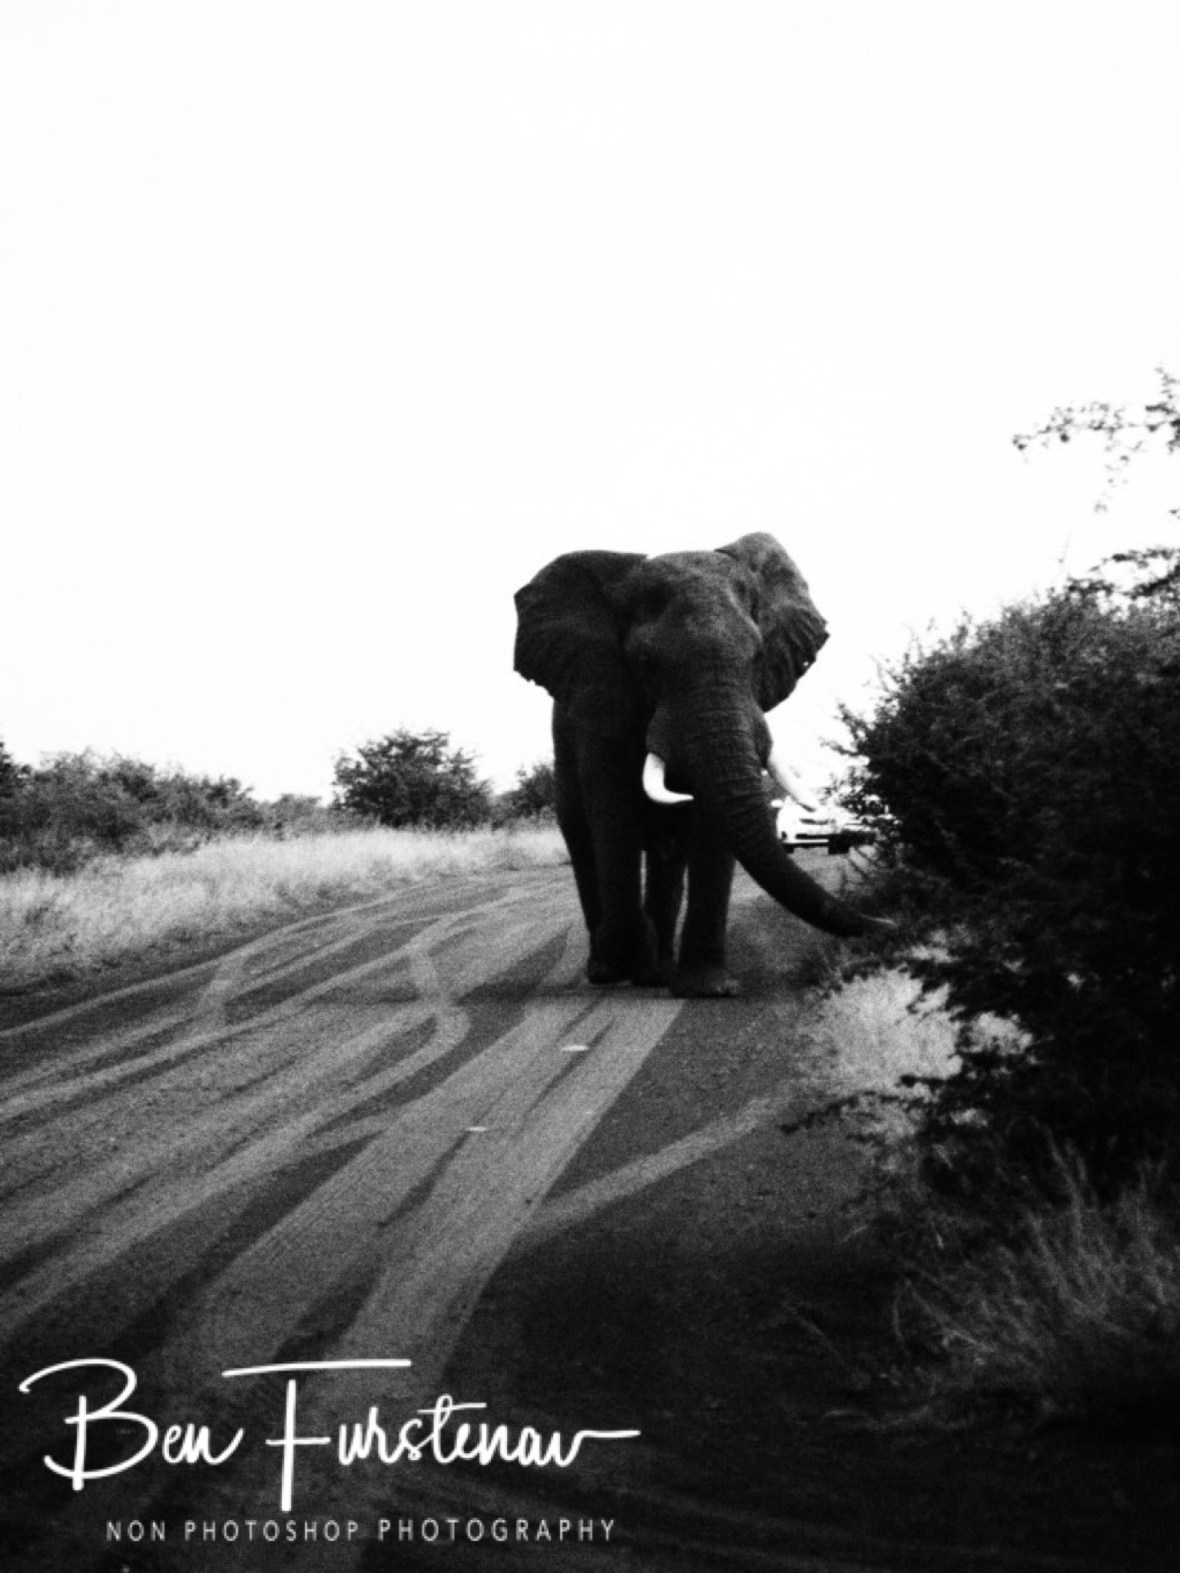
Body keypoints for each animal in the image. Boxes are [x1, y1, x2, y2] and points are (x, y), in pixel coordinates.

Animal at [514, 531, 883, 998]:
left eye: (757, 657)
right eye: (647, 665)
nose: (889, 922)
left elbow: (711, 823)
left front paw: (708, 989)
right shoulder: (601, 708)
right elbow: (614, 819)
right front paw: (631, 957)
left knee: (667, 855)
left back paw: (656, 972)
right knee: (584, 840)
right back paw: (610, 970)